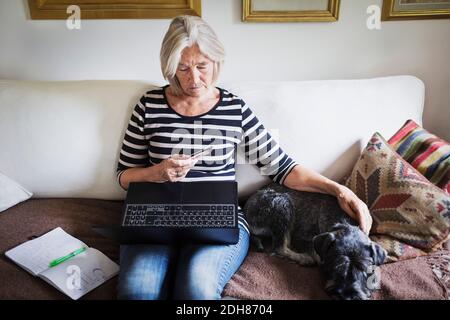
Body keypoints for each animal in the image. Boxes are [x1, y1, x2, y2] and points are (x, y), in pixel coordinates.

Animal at [243, 182, 386, 300]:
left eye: (365, 269)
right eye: (337, 266)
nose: (348, 296)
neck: (342, 222)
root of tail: (246, 209)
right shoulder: (302, 238)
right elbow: (313, 251)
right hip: (282, 204)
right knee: (279, 247)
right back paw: (304, 259)